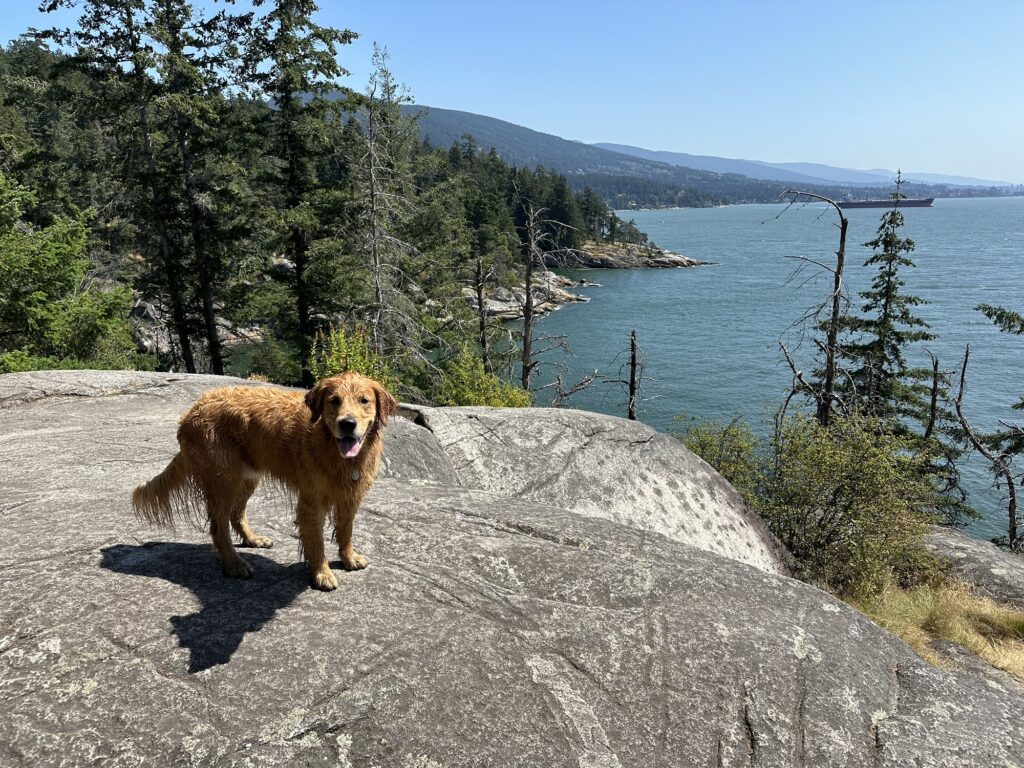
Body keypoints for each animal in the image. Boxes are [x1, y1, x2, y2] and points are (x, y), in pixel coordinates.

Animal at [132, 370, 395, 589]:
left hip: (247, 478)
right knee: (219, 527)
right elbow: (317, 542)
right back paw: (234, 564)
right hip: (223, 480)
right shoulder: (312, 502)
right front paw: (322, 573)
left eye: (364, 400)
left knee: (236, 513)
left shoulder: (350, 497)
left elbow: (345, 531)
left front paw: (349, 557)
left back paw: (252, 539)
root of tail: (191, 411)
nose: (347, 424)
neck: (334, 449)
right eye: (334, 400)